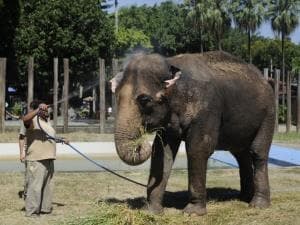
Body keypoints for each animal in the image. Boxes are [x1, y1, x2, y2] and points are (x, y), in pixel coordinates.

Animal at [112, 51, 274, 216]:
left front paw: (192, 213)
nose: (140, 143)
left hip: (268, 114)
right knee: (241, 155)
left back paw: (258, 204)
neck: (170, 63)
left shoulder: (206, 109)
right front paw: (151, 212)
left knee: (257, 152)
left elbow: (198, 148)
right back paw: (243, 197)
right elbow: (162, 152)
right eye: (116, 96)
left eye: (144, 100)